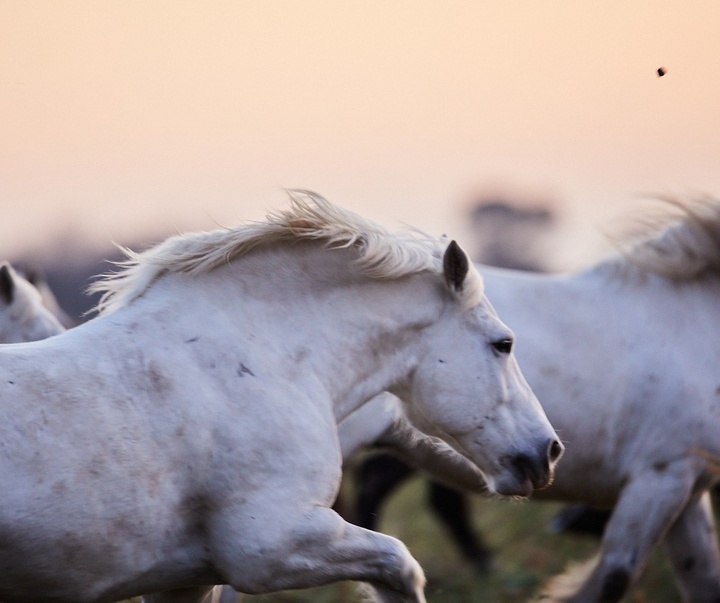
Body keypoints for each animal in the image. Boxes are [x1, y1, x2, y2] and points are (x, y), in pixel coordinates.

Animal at [0, 195, 564, 603]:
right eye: (503, 344)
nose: (549, 451)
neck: (264, 358)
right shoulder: (270, 548)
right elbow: (401, 566)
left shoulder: (182, 580)